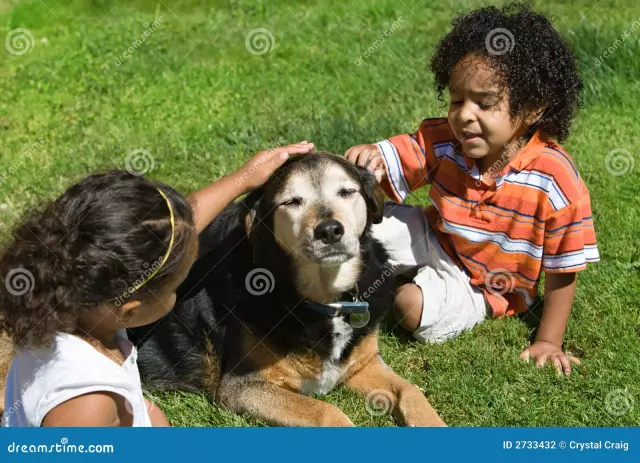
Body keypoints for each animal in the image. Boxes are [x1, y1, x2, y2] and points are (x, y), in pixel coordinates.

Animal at [130, 153, 448, 428]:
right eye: (292, 201)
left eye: (347, 192)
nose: (329, 230)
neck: (324, 300)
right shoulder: (241, 386)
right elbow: (327, 412)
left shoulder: (364, 364)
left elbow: (411, 391)